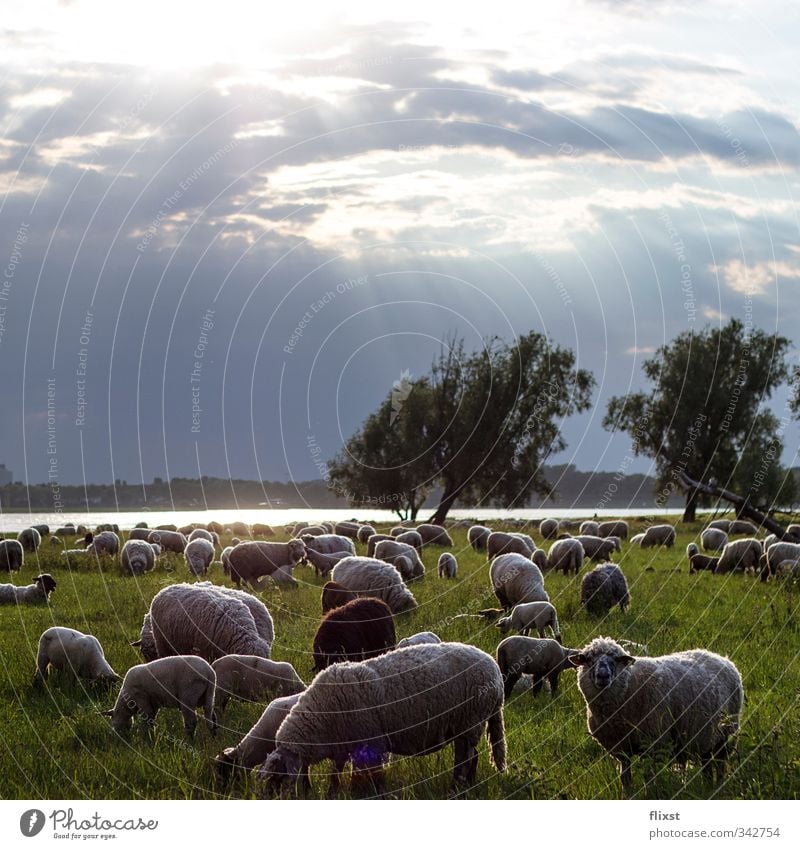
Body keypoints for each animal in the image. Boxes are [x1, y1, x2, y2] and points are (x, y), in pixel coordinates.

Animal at [260, 644, 504, 796]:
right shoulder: (342, 744)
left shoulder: (370, 740)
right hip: (468, 725)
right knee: (473, 756)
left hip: (471, 720)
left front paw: (368, 792)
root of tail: (495, 671)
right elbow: (336, 771)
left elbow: (368, 773)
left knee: (465, 758)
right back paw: (468, 784)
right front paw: (333, 792)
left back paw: (457, 787)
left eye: (277, 777)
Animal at [568, 636, 744, 796]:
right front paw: (627, 795)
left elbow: (648, 777)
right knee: (707, 763)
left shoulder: (653, 742)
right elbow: (625, 777)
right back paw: (707, 788)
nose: (603, 676)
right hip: (705, 735)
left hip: (726, 735)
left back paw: (718, 788)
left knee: (720, 765)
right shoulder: (620, 748)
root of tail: (722, 658)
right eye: (588, 659)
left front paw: (649, 794)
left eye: (617, 659)